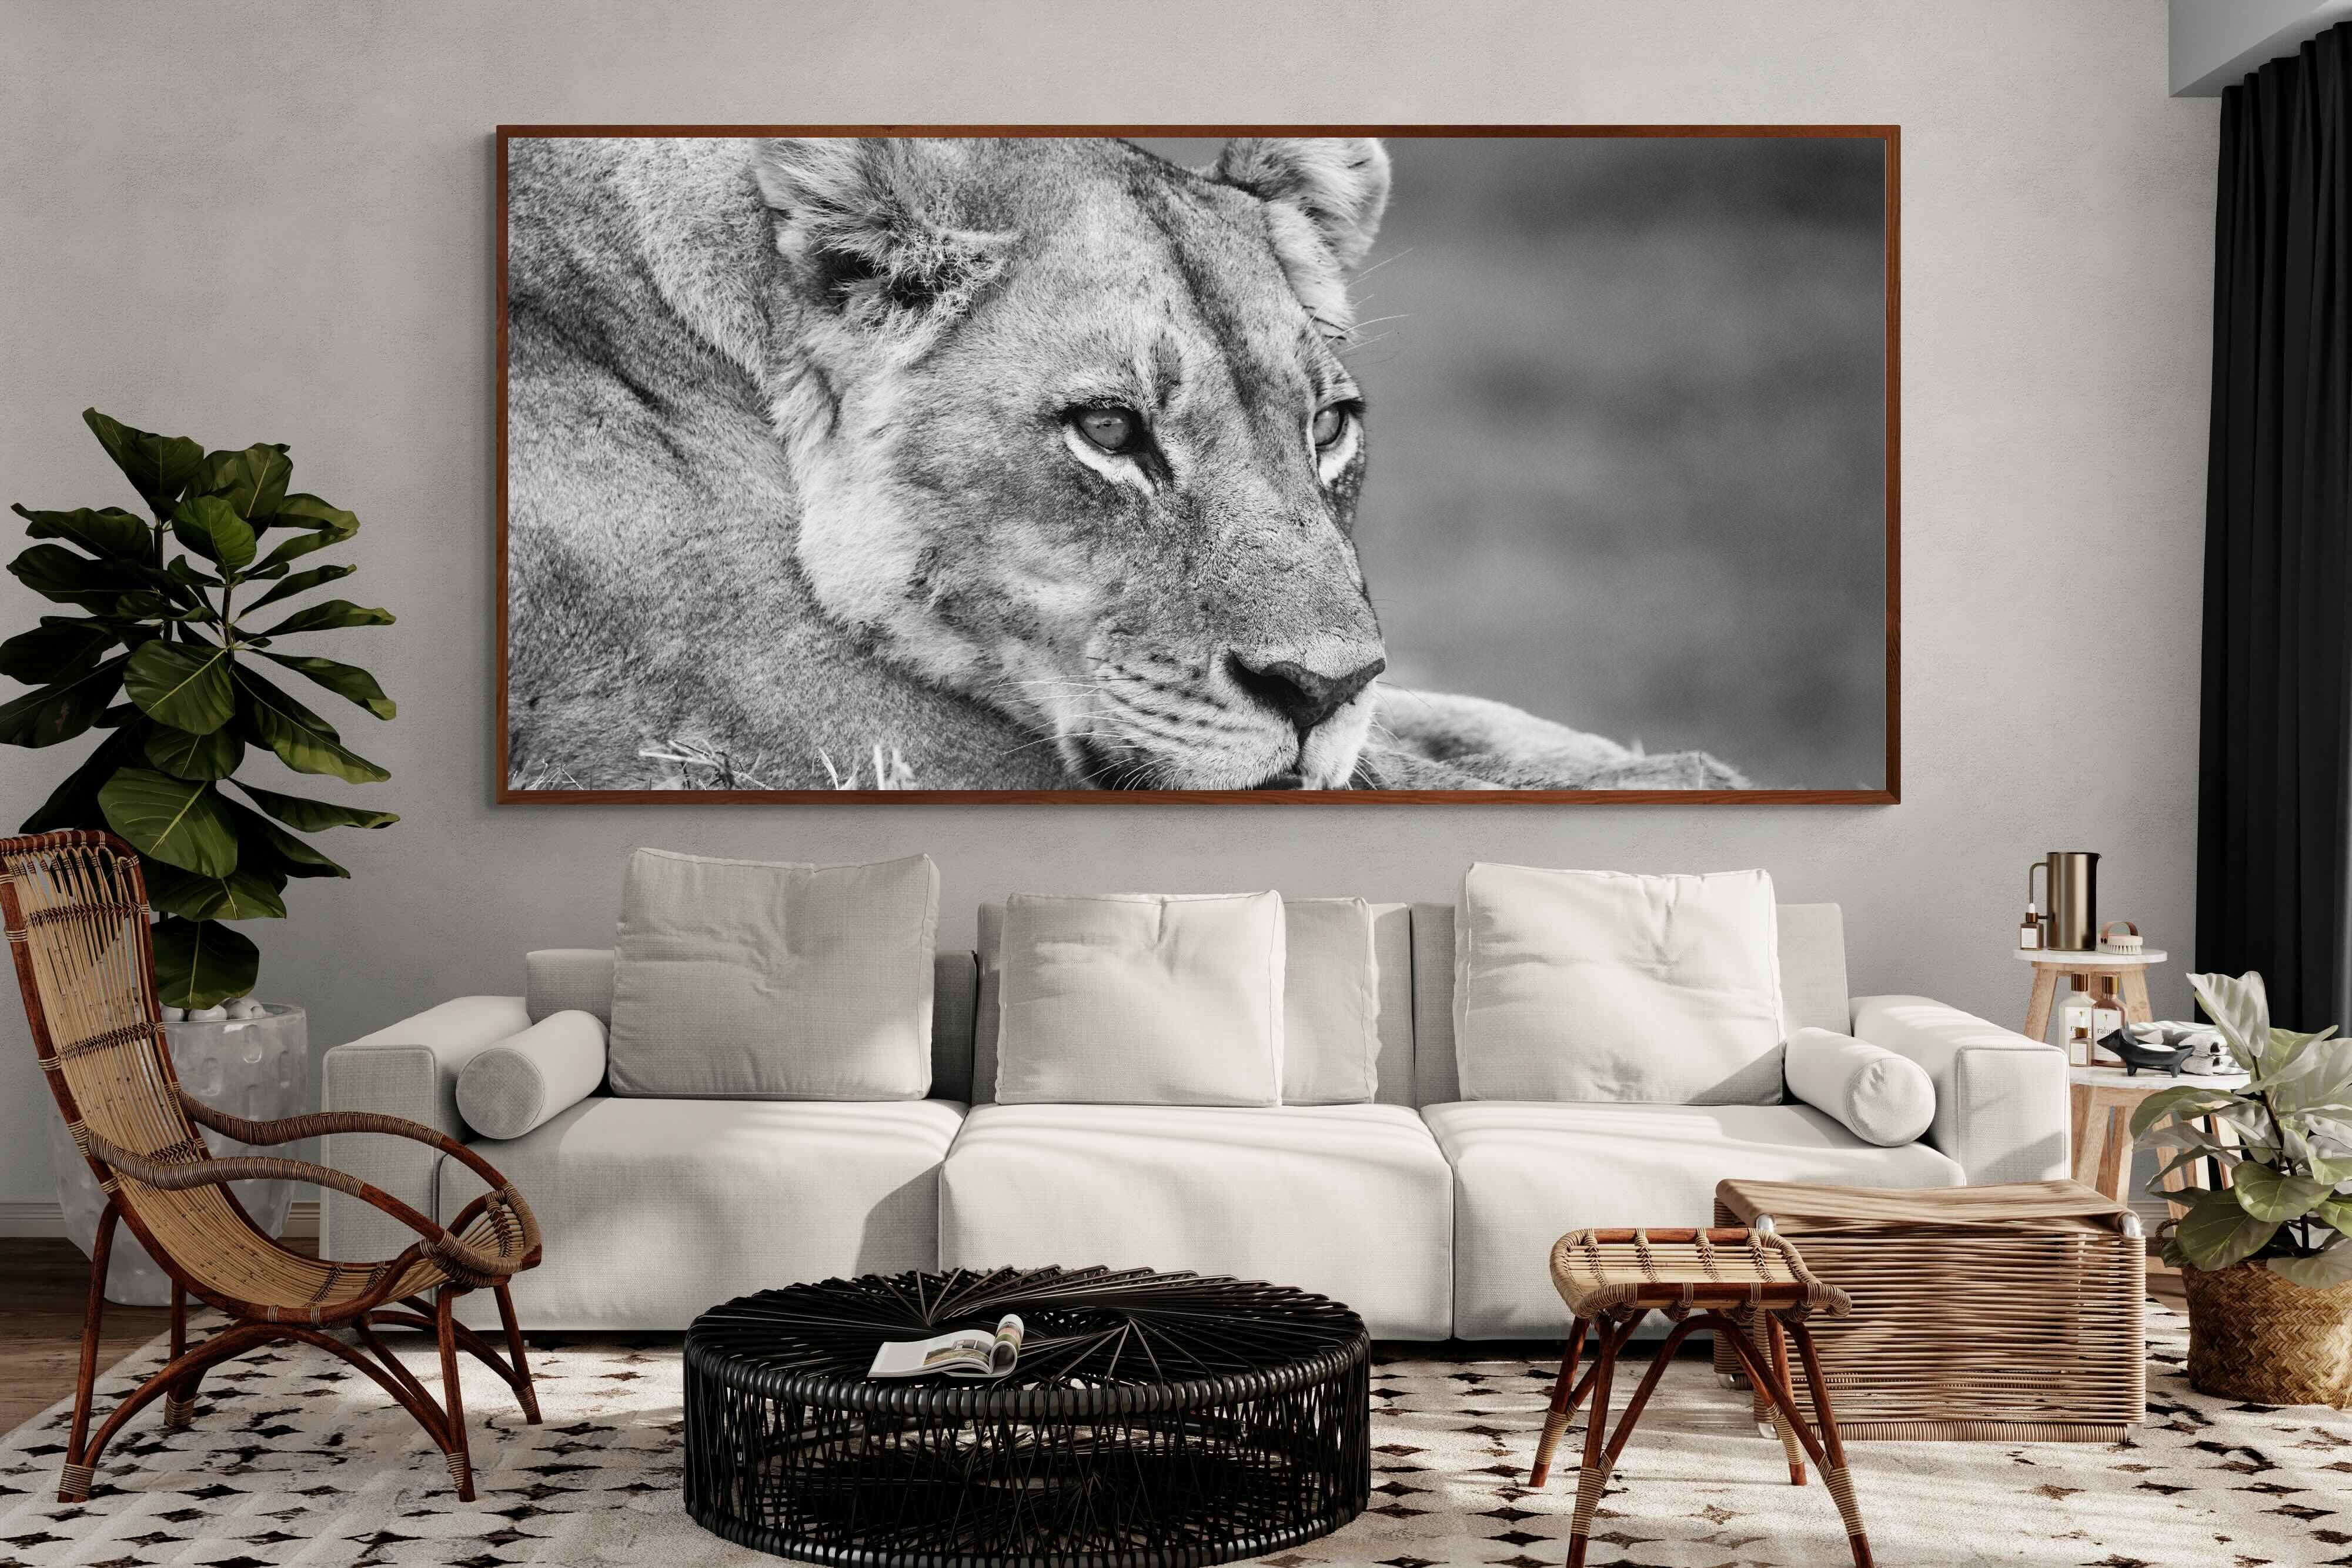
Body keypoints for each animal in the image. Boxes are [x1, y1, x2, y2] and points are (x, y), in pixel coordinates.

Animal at [504, 134, 1743, 791]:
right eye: (1108, 431)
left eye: (1329, 426)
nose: (1319, 691)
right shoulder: (821, 729)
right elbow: (1406, 771)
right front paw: (1671, 781)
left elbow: (1434, 720)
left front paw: (1649, 766)